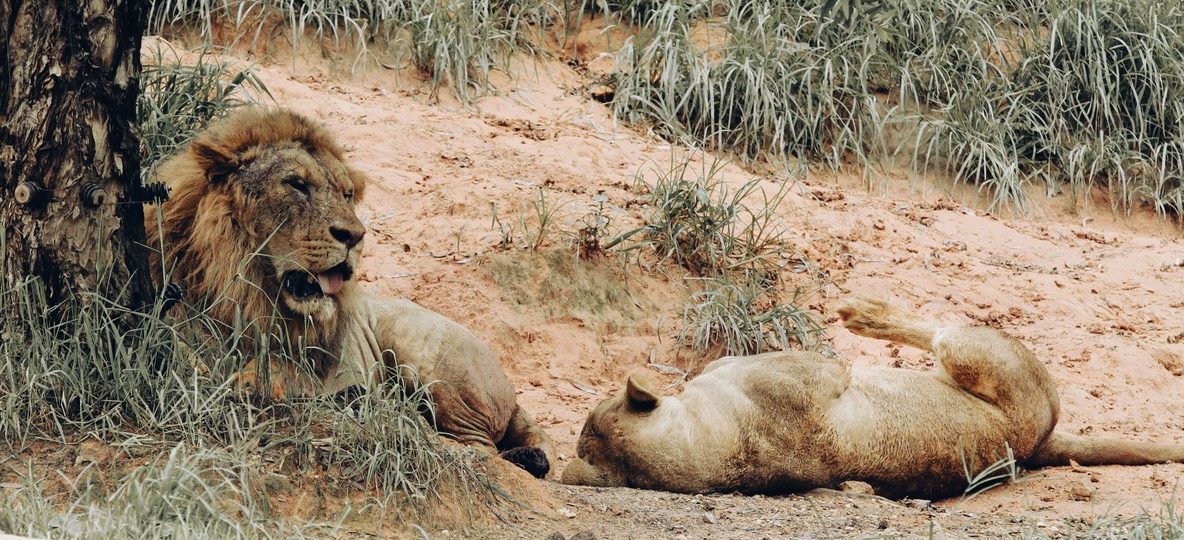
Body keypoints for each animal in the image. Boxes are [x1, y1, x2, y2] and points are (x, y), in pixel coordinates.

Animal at [145, 107, 553, 478]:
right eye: (297, 184)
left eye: (346, 194)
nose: (356, 236)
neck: (248, 292)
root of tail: (512, 393)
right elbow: (188, 356)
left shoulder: (311, 361)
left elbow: (275, 371)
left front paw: (254, 385)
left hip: (425, 354)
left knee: (475, 447)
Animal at [562, 296, 1184, 498]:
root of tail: (1043, 441)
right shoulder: (815, 370)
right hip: (980, 352)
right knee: (939, 332)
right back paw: (863, 312)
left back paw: (860, 311)